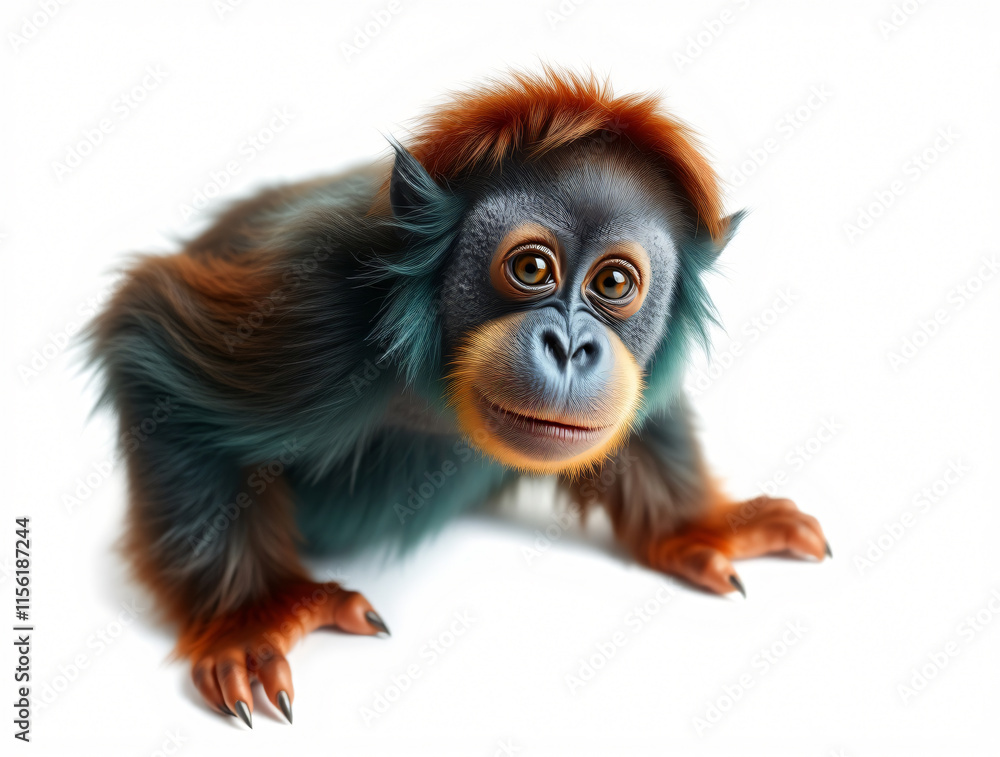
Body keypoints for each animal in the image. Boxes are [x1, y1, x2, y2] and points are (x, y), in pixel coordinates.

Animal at [88, 67, 829, 728]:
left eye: (614, 283)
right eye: (531, 268)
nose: (569, 347)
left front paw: (701, 528)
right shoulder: (315, 308)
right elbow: (150, 357)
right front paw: (254, 617)